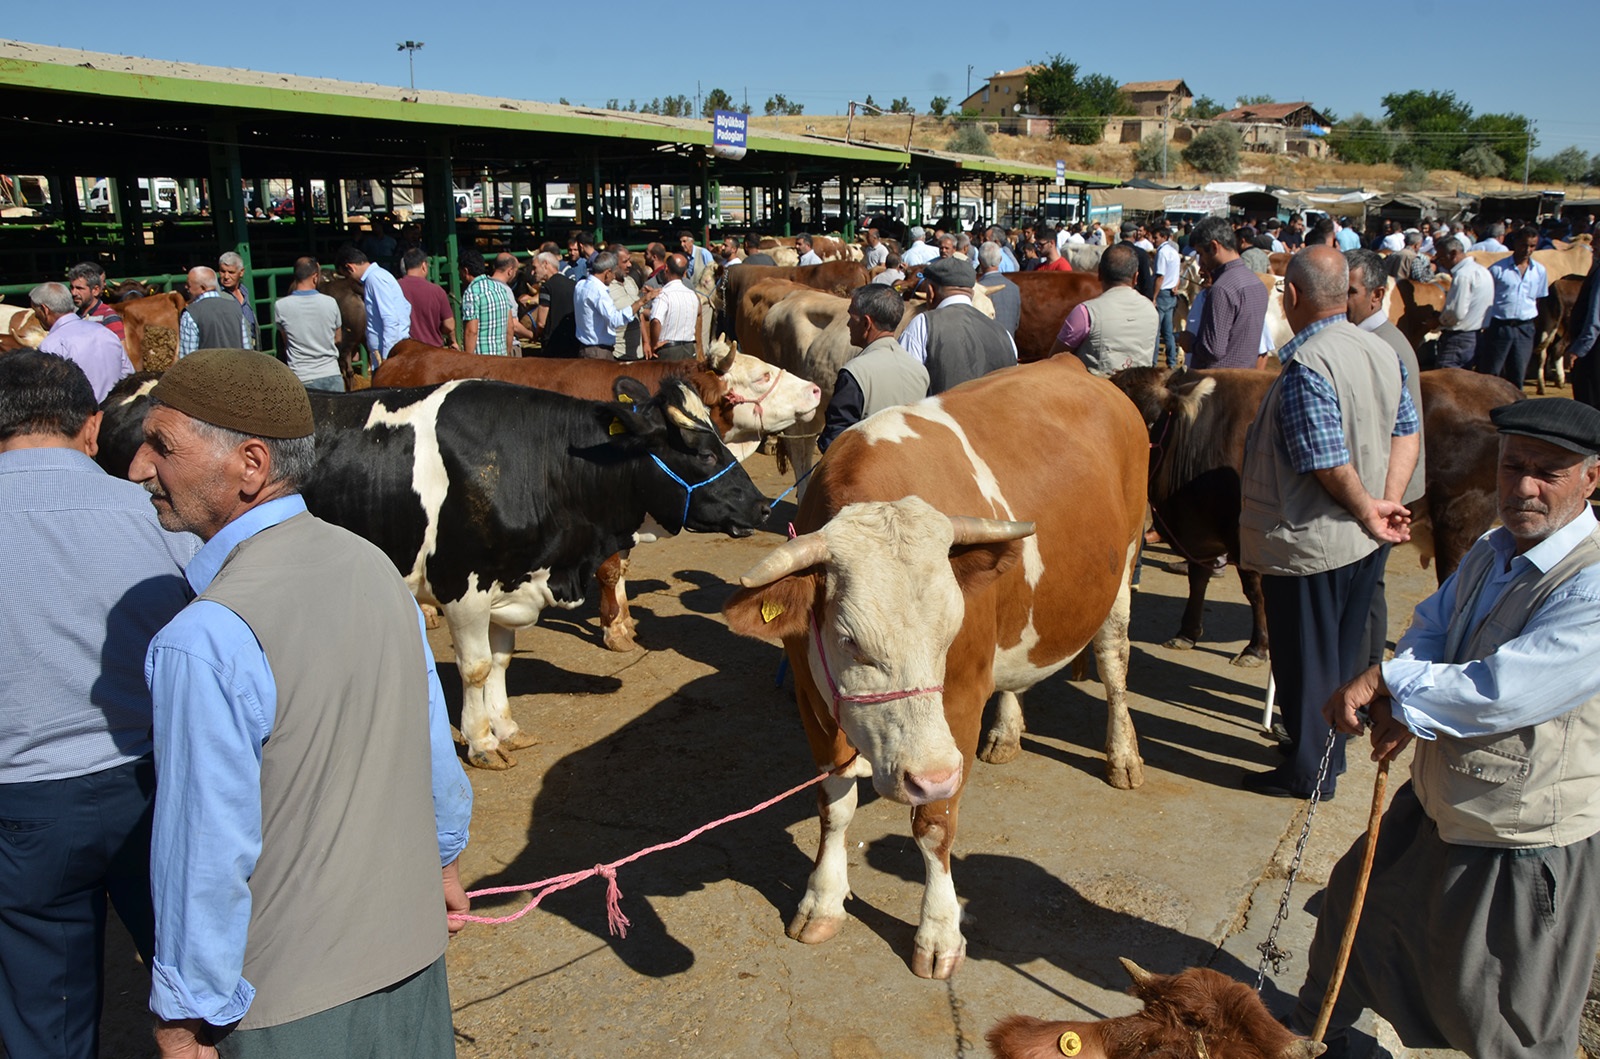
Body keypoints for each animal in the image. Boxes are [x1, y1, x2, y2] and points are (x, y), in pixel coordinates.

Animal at [302, 377, 771, 767]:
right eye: (705, 454)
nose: (764, 506)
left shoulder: (507, 585)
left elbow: (500, 660)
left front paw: (507, 728)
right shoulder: (462, 587)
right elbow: (475, 668)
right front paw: (482, 742)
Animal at [726, 361, 1152, 985]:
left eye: (951, 631)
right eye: (850, 641)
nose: (929, 774)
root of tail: (1076, 367)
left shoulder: (961, 703)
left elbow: (934, 824)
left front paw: (939, 932)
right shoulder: (811, 698)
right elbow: (834, 807)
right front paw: (822, 901)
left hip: (1123, 565)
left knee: (1114, 662)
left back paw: (1122, 755)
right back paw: (1006, 732)